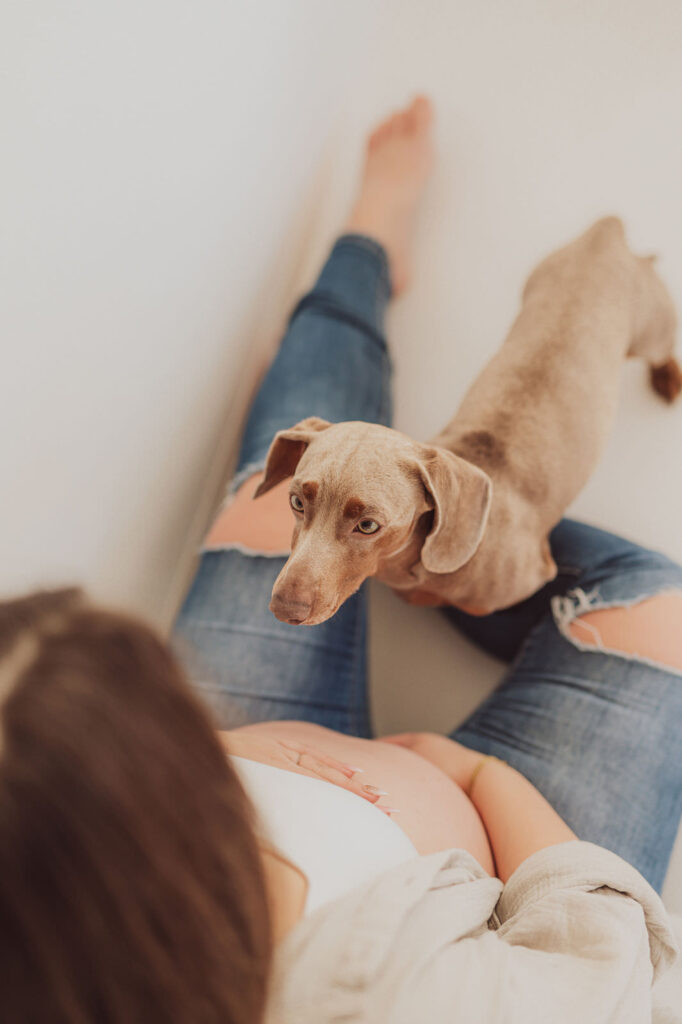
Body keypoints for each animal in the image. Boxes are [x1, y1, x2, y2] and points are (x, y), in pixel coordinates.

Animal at [251, 218, 675, 622]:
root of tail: (607, 234)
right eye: (296, 502)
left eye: (368, 525)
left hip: (652, 329)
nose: (283, 608)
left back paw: (668, 377)